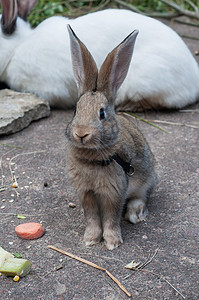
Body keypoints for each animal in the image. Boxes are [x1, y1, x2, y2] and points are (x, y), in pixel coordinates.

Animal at [65, 25, 157, 251]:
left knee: (141, 197)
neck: (91, 159)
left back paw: (135, 214)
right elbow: (92, 217)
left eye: (102, 113)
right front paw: (90, 239)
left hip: (148, 179)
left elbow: (110, 218)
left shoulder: (114, 193)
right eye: (75, 111)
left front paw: (112, 242)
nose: (81, 133)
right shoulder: (86, 192)